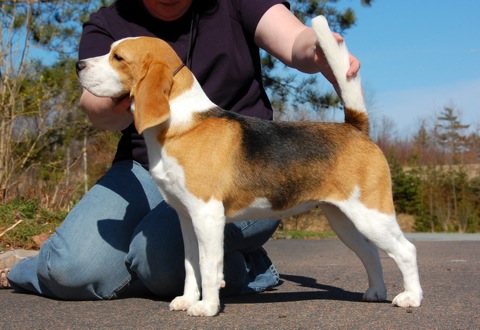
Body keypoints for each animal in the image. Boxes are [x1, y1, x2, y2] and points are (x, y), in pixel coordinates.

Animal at [77, 16, 422, 318]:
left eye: (118, 57)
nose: (78, 65)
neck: (181, 123)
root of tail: (355, 127)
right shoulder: (186, 218)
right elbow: (190, 265)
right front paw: (187, 300)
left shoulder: (207, 215)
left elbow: (208, 265)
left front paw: (206, 307)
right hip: (344, 219)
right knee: (371, 252)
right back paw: (375, 292)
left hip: (371, 214)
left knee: (405, 250)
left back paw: (411, 298)